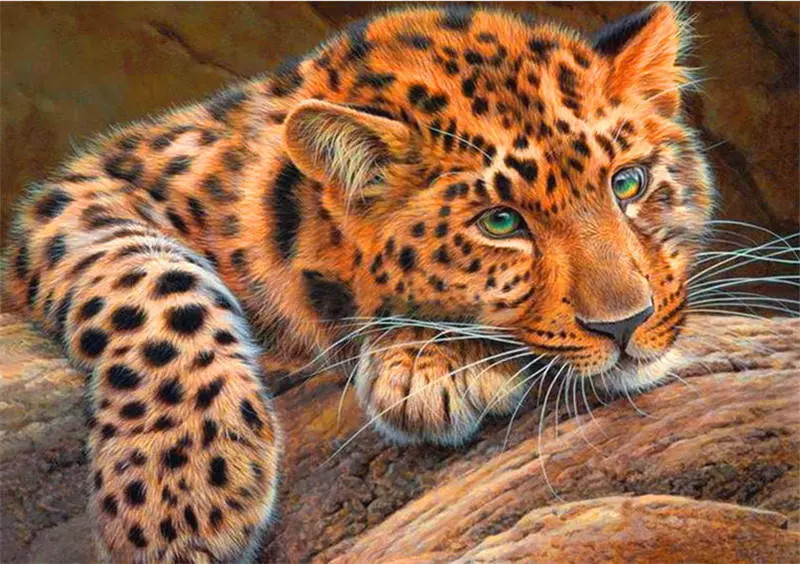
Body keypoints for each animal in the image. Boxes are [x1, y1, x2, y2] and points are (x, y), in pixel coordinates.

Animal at [3, 3, 714, 562]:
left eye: (628, 183)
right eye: (501, 222)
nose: (625, 324)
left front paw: (429, 362)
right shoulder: (83, 192)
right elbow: (152, 282)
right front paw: (181, 490)